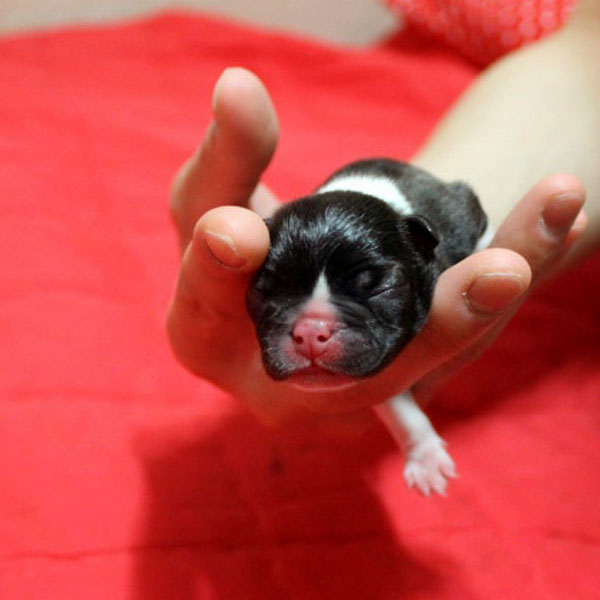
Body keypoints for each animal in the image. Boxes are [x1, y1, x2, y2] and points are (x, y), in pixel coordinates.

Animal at [245, 157, 492, 494]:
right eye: (265, 290)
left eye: (378, 287)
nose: (310, 331)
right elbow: (398, 408)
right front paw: (426, 459)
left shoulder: (461, 213)